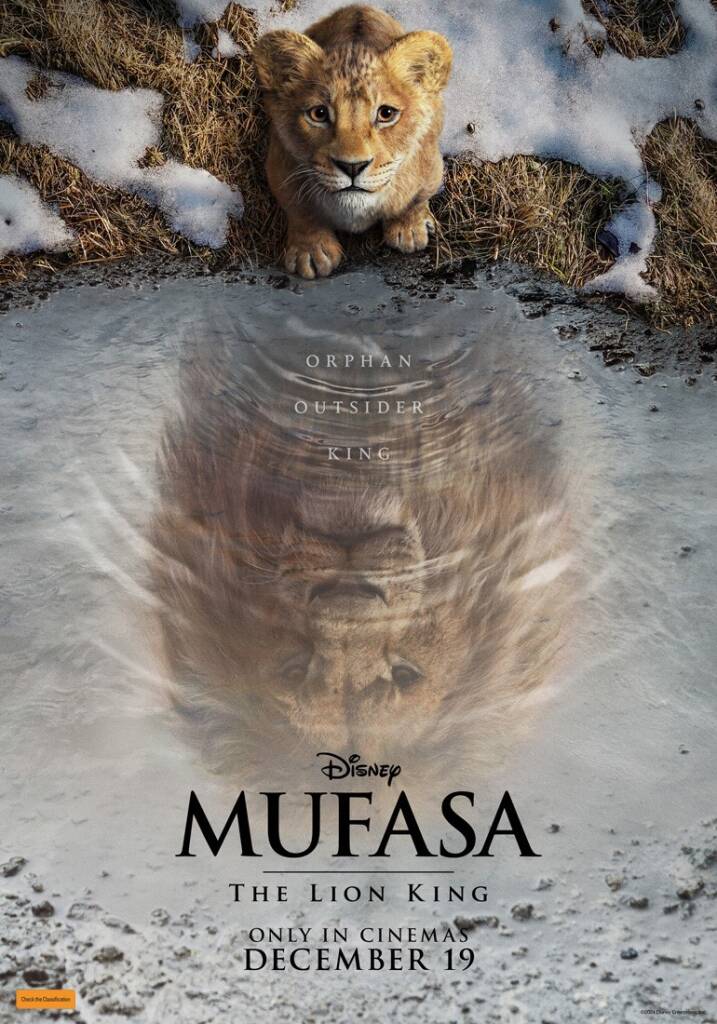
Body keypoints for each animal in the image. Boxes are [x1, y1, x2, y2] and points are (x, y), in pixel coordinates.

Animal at [253, 4, 452, 279]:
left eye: (386, 113)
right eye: (319, 114)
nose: (352, 167)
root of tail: (359, 7)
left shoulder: (430, 167)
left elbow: (414, 200)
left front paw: (410, 230)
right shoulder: (280, 167)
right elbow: (301, 211)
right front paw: (311, 252)